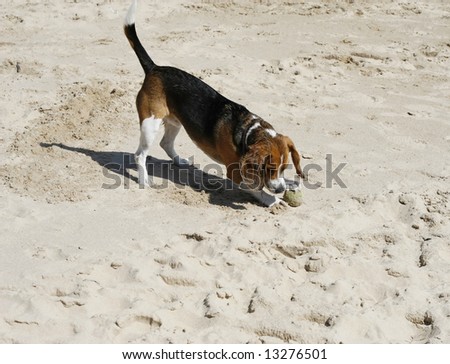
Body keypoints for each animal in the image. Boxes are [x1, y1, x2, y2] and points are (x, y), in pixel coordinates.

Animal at [125, 0, 304, 206]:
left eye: (284, 167)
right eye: (269, 168)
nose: (281, 189)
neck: (247, 131)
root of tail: (154, 68)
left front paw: (291, 183)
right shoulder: (235, 173)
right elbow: (256, 189)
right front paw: (272, 200)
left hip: (175, 122)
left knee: (165, 143)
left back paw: (179, 161)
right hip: (150, 124)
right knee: (140, 155)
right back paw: (144, 180)